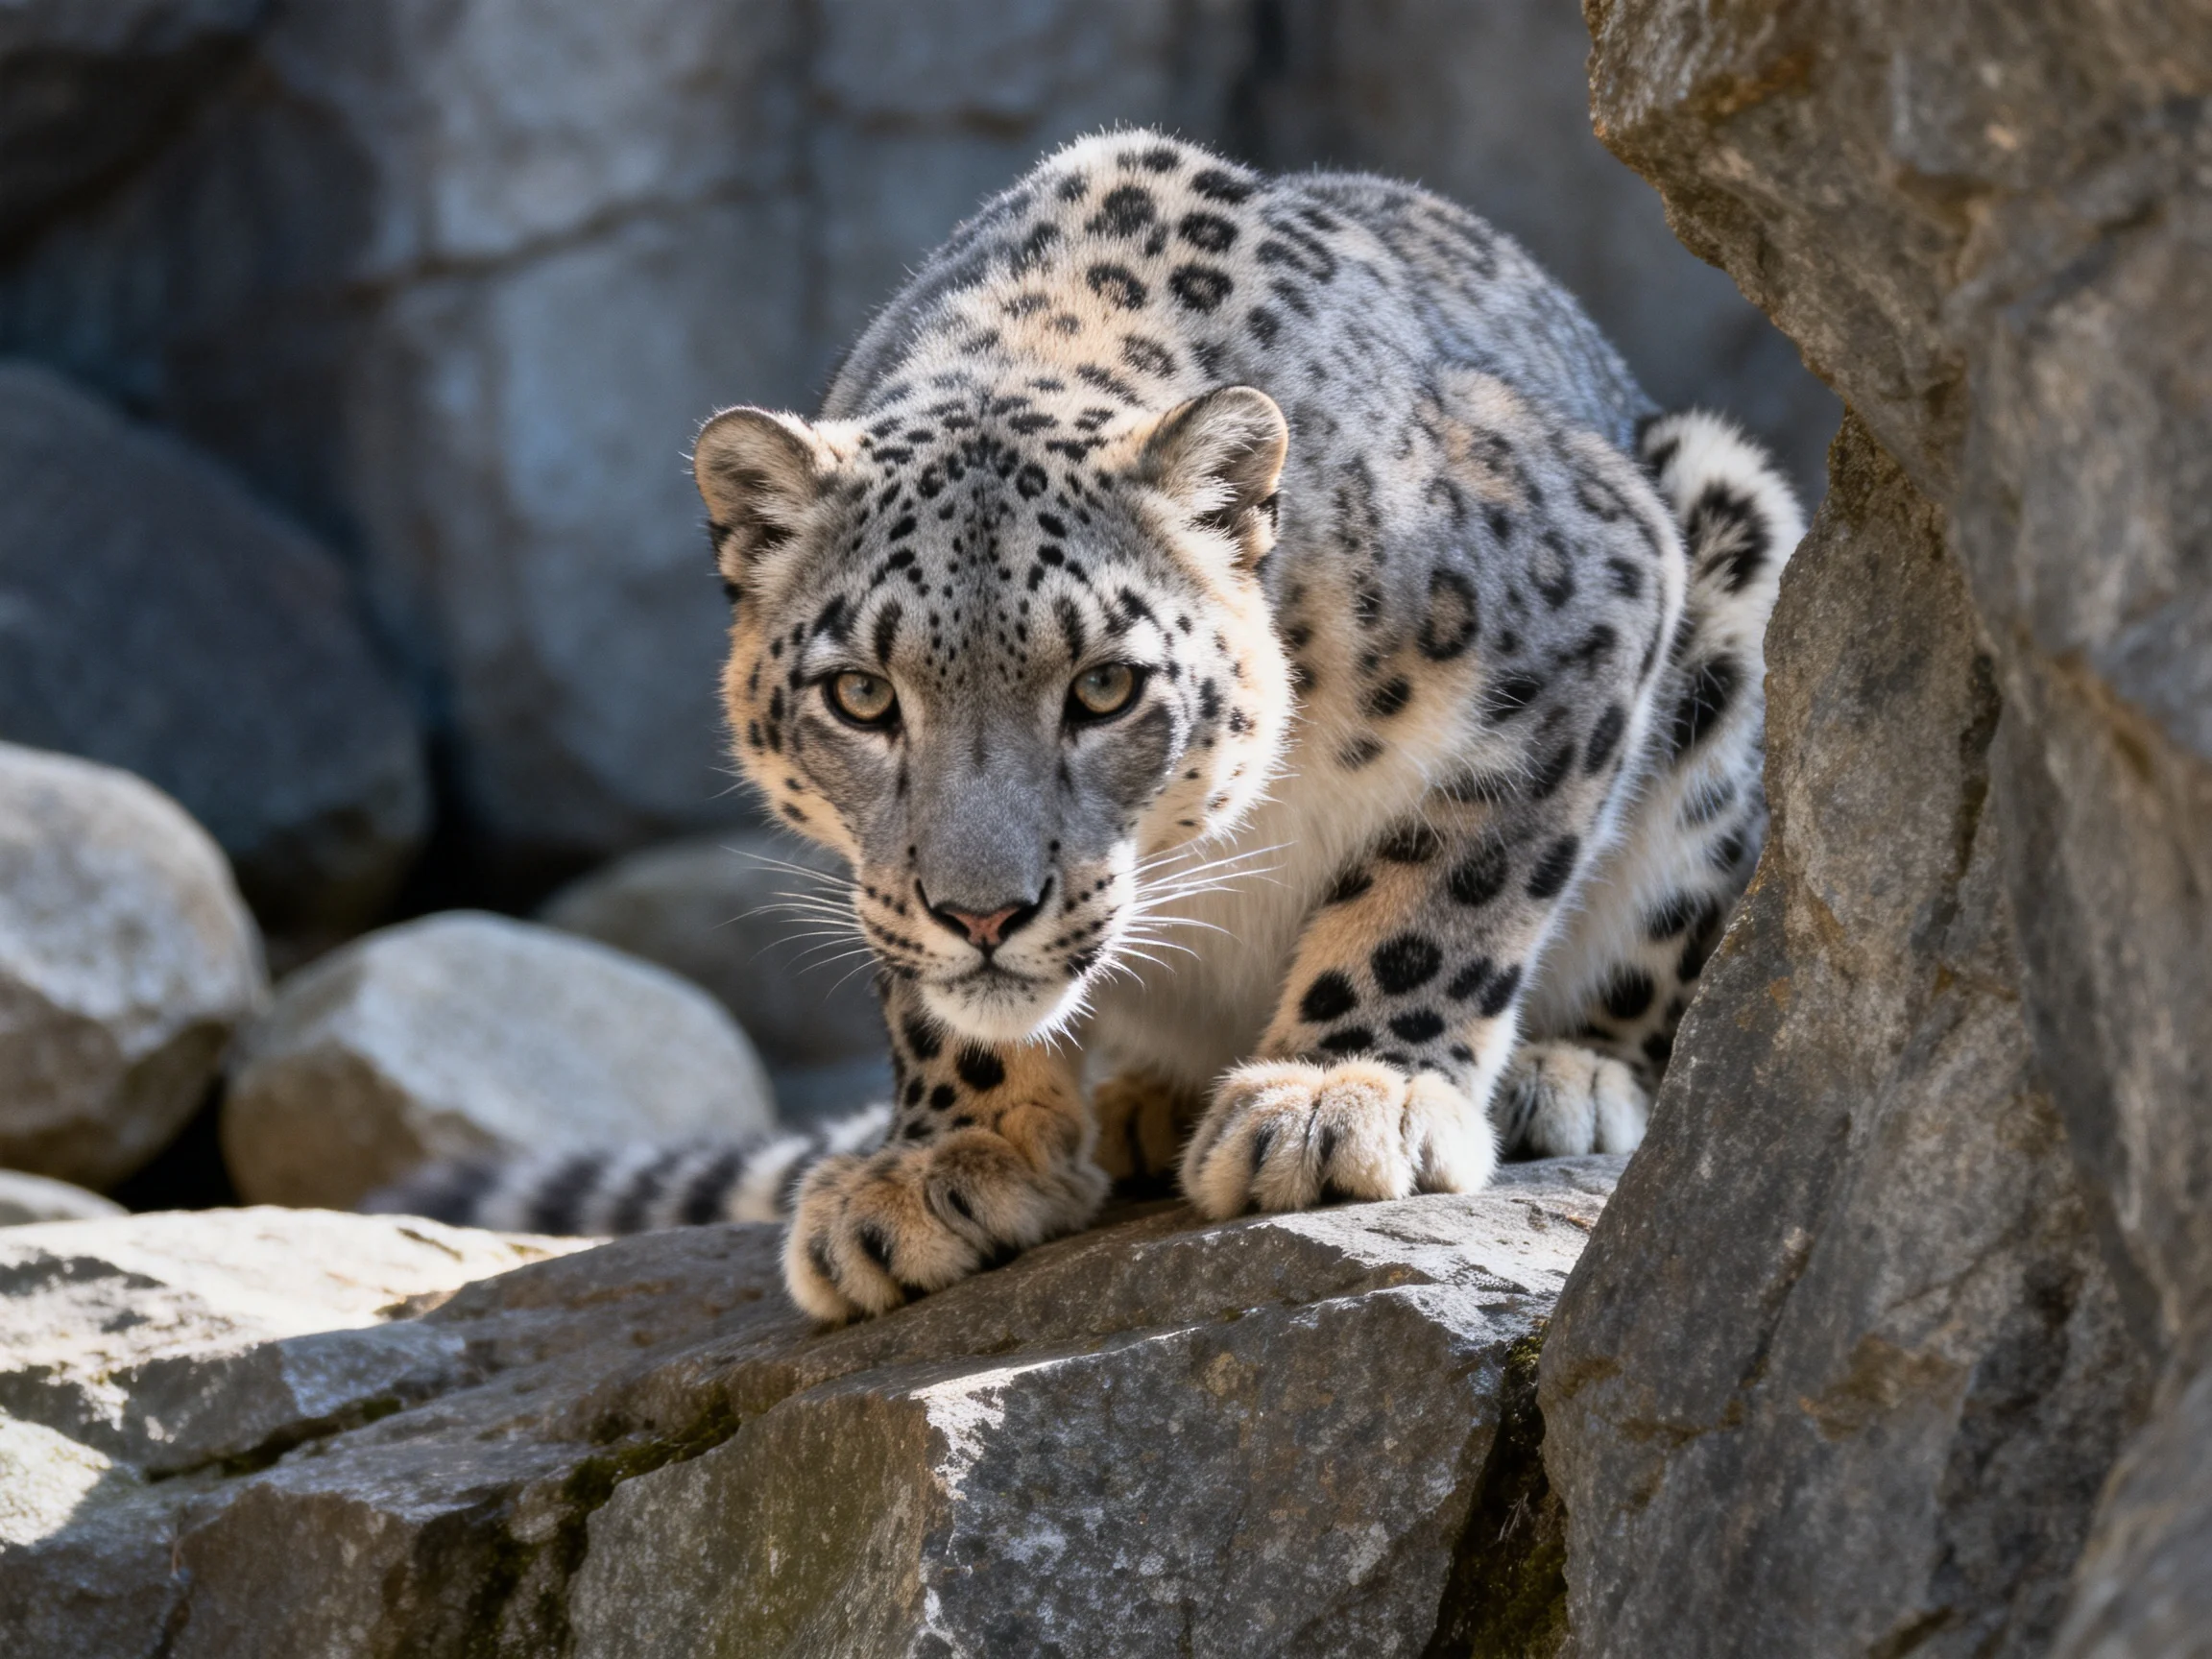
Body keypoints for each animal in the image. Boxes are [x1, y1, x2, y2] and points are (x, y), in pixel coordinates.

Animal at [378, 130, 1804, 1323]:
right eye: (861, 695)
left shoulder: (1584, 616)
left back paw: (1564, 1074)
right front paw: (948, 1162)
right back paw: (1136, 1104)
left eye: (1106, 688)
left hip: (1733, 543)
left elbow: (1443, 893)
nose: (983, 915)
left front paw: (1342, 1097)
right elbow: (926, 997)